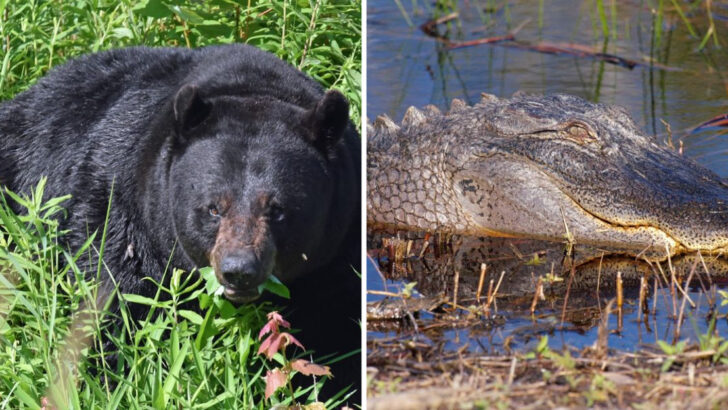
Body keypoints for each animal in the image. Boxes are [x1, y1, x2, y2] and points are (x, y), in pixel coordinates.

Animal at [0, 44, 361, 403]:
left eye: (277, 210)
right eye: (213, 208)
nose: (239, 270)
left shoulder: (338, 243)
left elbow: (335, 325)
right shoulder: (119, 212)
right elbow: (115, 300)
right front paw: (107, 380)